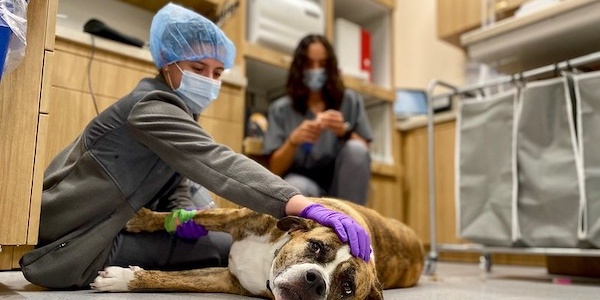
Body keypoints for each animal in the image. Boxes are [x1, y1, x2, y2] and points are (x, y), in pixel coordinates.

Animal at [91, 198, 424, 298]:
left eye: (347, 288)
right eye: (316, 247)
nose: (315, 282)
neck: (269, 260)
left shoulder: (225, 281)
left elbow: (172, 279)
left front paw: (122, 279)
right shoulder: (237, 217)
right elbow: (196, 217)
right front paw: (142, 218)